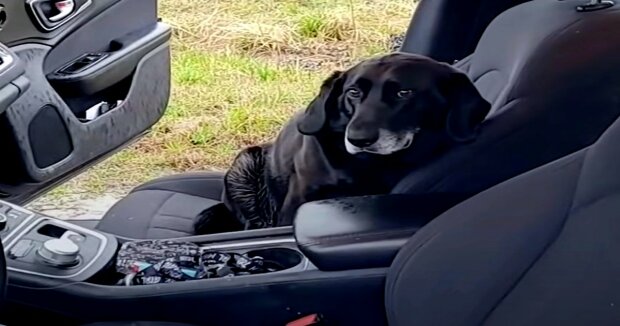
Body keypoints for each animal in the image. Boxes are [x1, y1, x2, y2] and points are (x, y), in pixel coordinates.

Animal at [194, 52, 490, 233]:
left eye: (405, 92)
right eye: (353, 92)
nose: (357, 138)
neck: (369, 165)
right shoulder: (297, 202)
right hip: (245, 165)